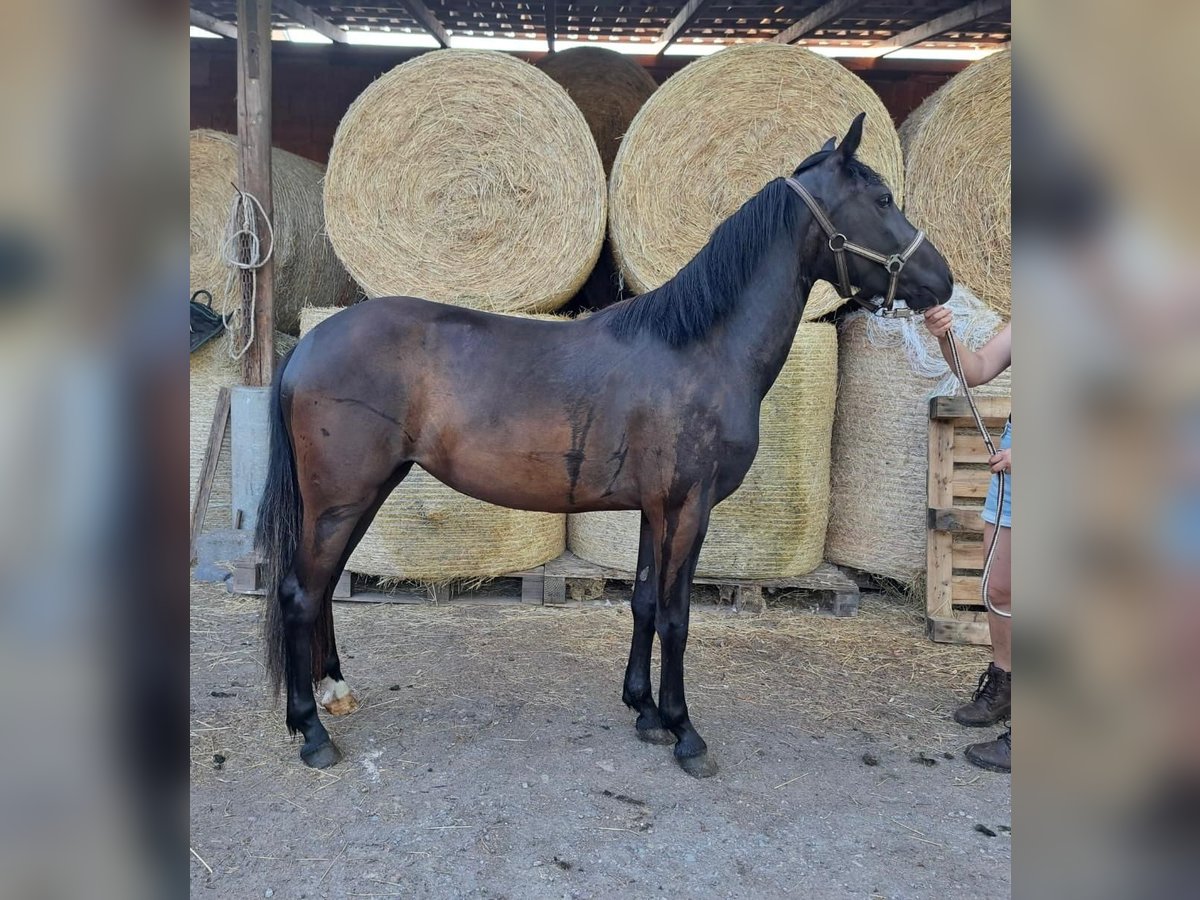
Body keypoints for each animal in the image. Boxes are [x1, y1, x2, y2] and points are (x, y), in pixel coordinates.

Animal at [258, 112, 950, 777]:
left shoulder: (654, 509)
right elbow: (675, 615)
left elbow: (643, 601)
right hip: (343, 497)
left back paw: (335, 692)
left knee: (323, 585)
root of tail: (309, 345)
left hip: (363, 493)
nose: (941, 282)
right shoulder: (688, 509)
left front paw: (644, 711)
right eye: (883, 198)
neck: (698, 347)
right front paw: (685, 732)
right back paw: (311, 732)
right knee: (300, 591)